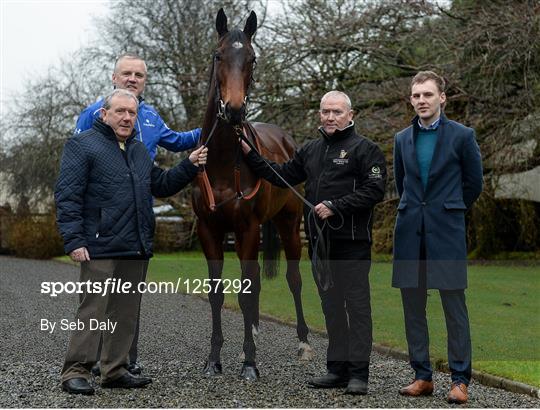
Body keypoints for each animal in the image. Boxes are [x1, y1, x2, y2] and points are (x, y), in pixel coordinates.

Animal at [193, 8, 312, 382]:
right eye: (218, 55)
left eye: (252, 58)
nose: (233, 110)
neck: (221, 162)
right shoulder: (210, 230)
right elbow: (218, 294)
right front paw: (213, 359)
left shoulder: (247, 228)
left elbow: (247, 293)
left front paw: (249, 363)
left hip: (288, 226)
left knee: (293, 280)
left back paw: (303, 343)